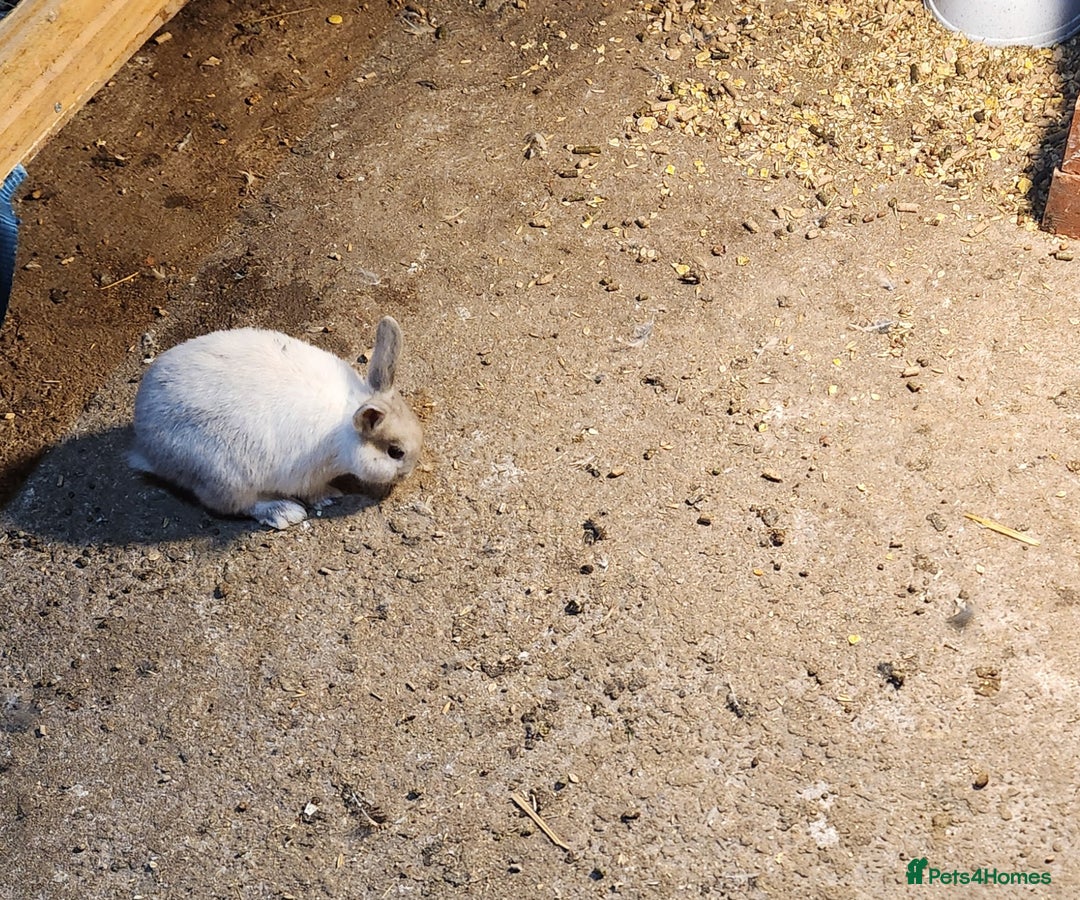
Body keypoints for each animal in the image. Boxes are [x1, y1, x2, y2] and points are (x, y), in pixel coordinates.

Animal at [129, 316, 422, 529]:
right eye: (395, 452)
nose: (407, 473)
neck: (346, 426)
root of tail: (146, 449)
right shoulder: (309, 477)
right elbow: (315, 492)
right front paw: (330, 497)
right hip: (226, 478)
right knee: (238, 506)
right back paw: (284, 512)